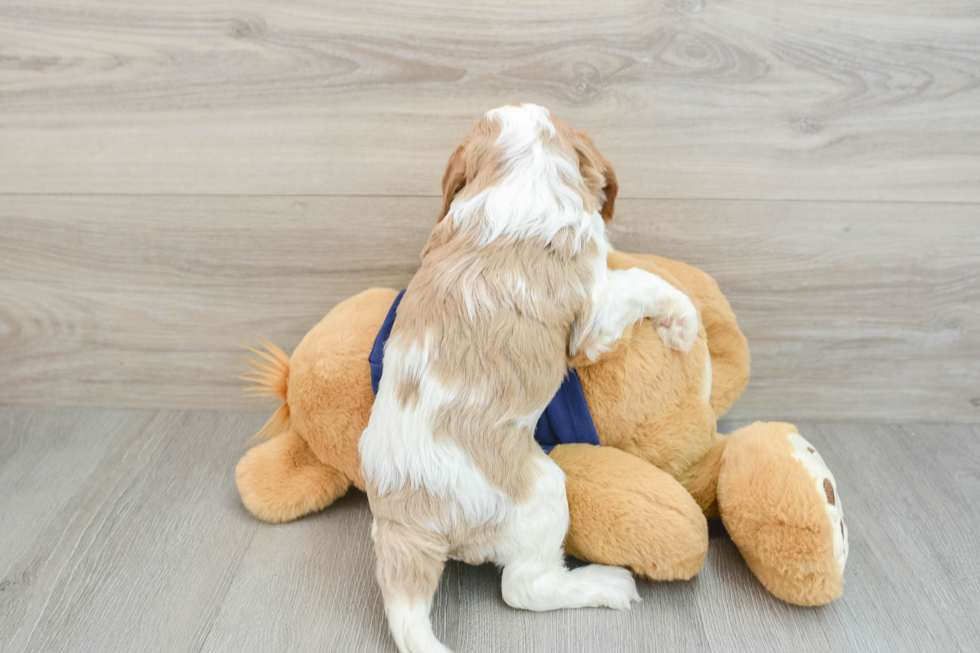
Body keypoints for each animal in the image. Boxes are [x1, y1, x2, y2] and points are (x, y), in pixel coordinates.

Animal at [358, 103, 696, 652]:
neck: (521, 174)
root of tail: (405, 518)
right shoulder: (594, 317)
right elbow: (642, 281)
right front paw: (683, 323)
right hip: (543, 491)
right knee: (524, 588)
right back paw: (605, 583)